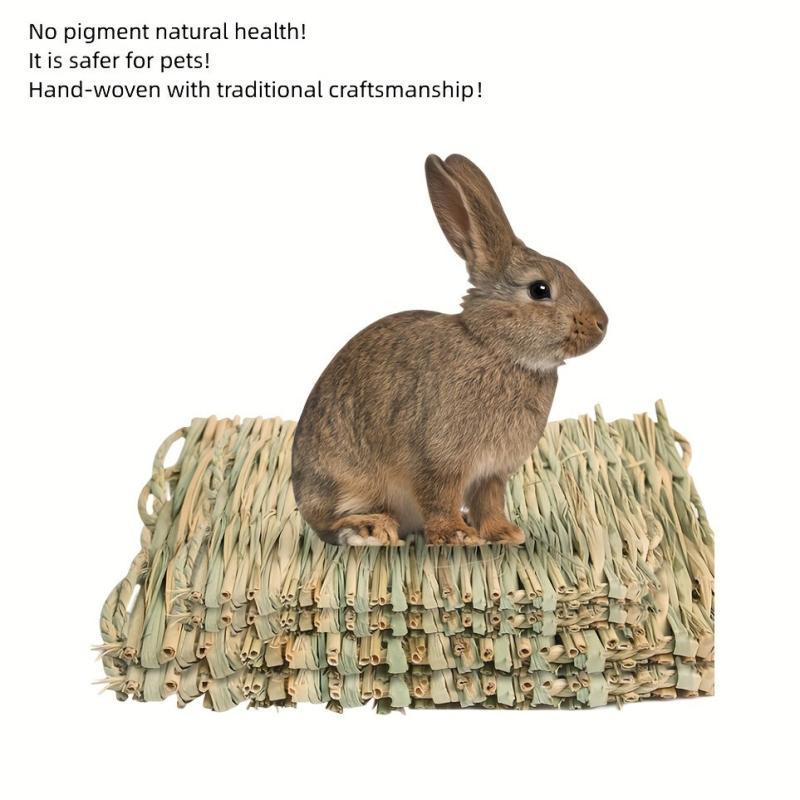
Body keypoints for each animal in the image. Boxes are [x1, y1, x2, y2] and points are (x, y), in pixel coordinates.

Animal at [291, 154, 607, 546]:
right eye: (539, 289)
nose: (602, 323)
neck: (496, 348)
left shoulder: (492, 473)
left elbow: (489, 502)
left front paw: (504, 533)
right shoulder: (438, 460)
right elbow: (439, 497)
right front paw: (457, 536)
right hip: (344, 481)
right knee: (328, 524)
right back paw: (371, 529)